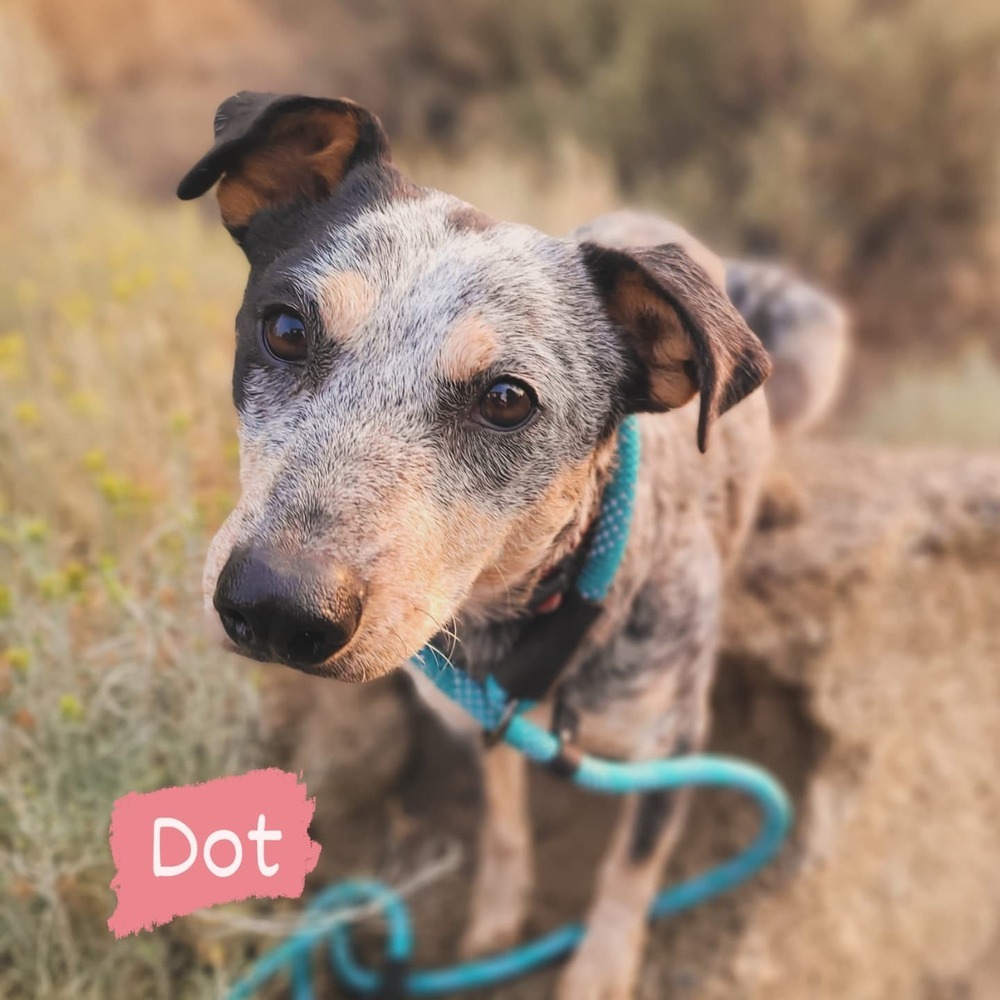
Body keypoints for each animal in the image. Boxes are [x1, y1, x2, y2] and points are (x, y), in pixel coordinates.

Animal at [178, 94, 844, 1000]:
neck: (535, 622)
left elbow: (629, 874)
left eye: (506, 399)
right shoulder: (478, 717)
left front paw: (599, 970)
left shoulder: (670, 750)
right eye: (283, 328)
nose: (279, 607)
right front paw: (496, 917)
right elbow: (501, 821)